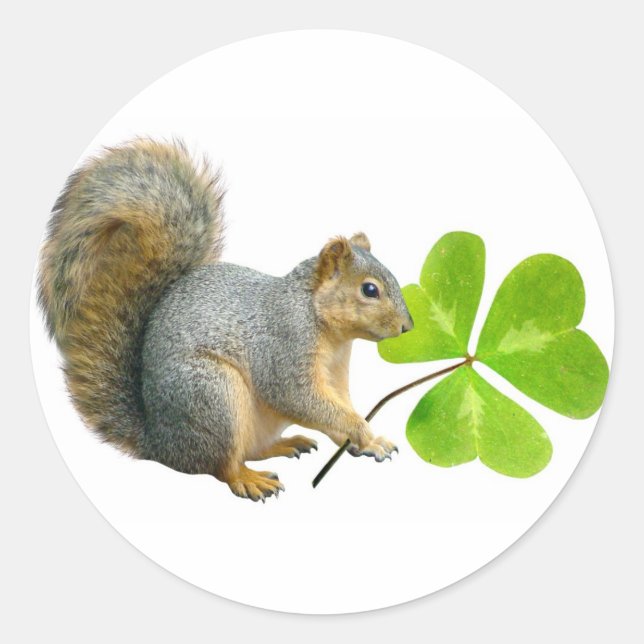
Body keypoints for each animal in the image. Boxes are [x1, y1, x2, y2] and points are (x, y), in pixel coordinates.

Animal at [38, 139, 414, 501]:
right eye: (369, 290)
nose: (407, 327)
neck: (322, 323)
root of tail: (160, 444)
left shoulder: (335, 372)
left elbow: (338, 405)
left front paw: (368, 442)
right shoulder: (284, 345)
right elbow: (298, 397)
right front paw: (361, 430)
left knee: (251, 450)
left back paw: (286, 444)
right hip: (213, 395)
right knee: (222, 466)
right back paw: (249, 480)